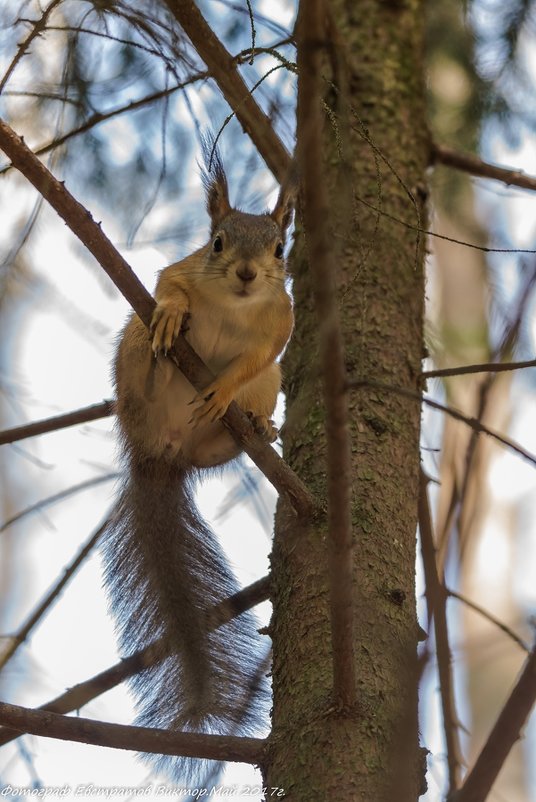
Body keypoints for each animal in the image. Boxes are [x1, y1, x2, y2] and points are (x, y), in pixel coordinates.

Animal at [102, 142, 296, 776]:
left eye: (279, 249)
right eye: (216, 242)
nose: (246, 273)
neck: (236, 305)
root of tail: (158, 453)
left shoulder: (280, 327)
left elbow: (256, 356)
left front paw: (226, 388)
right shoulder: (179, 271)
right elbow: (169, 284)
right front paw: (173, 309)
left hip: (264, 393)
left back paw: (254, 426)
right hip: (130, 366)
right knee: (145, 360)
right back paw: (161, 353)